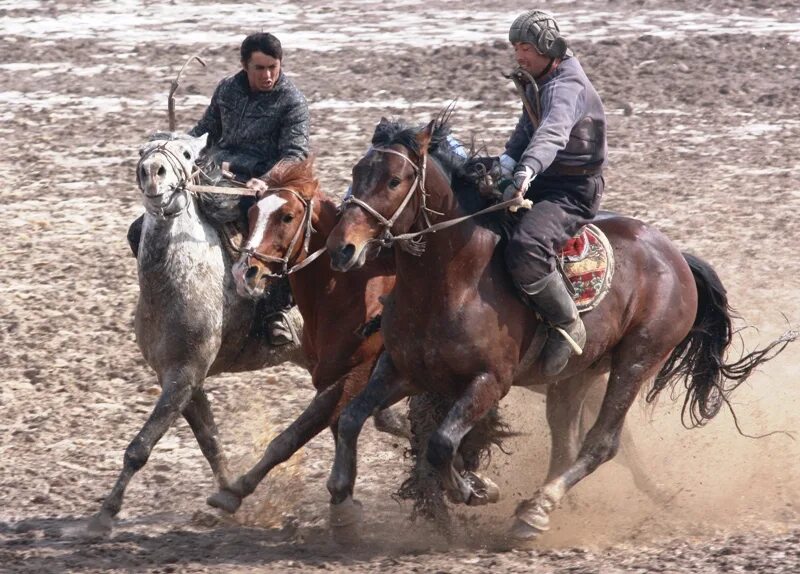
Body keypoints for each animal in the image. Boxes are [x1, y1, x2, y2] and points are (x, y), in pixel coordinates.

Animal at [86, 133, 306, 536]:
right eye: (143, 151)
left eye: (188, 154)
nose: (151, 171)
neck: (175, 282)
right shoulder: (180, 379)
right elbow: (210, 441)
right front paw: (229, 494)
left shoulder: (184, 376)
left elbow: (140, 448)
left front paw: (104, 515)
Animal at [322, 117, 792, 544]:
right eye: (356, 173)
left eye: (394, 179)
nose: (342, 249)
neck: (452, 282)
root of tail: (676, 256)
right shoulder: (403, 371)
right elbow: (352, 419)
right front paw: (342, 509)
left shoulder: (488, 382)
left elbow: (440, 443)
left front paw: (477, 489)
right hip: (575, 376)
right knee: (565, 444)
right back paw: (537, 506)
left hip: (636, 362)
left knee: (600, 444)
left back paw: (537, 512)